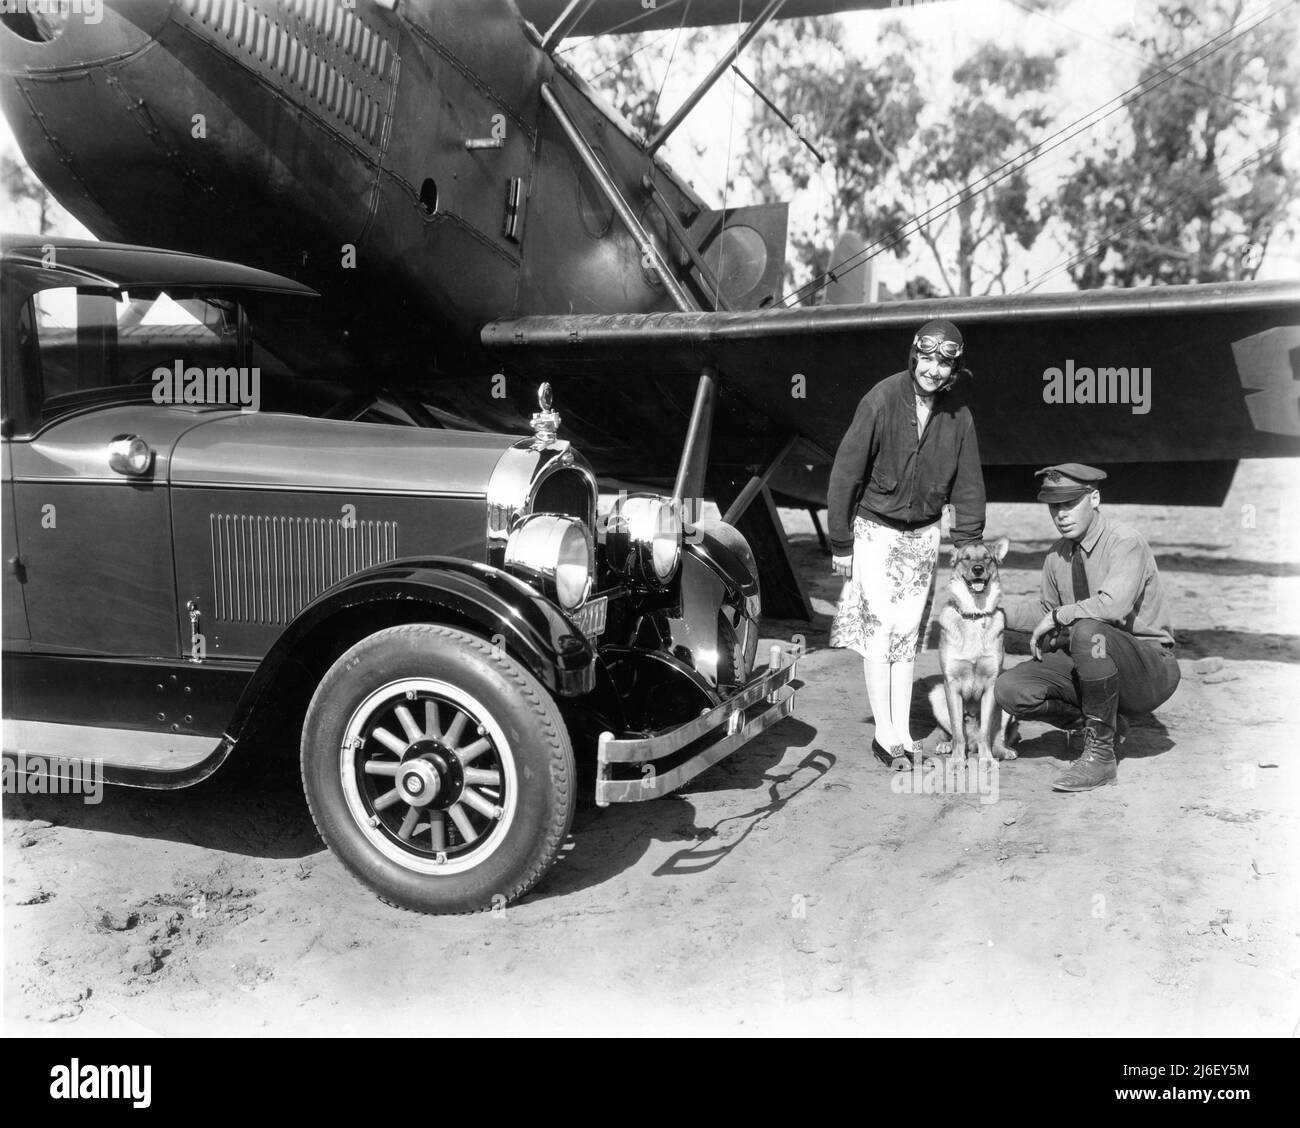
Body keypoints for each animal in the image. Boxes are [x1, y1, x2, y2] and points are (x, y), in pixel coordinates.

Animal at [930, 535, 1019, 764]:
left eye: (987, 558)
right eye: (966, 558)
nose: (978, 569)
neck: (974, 614)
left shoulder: (991, 684)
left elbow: (986, 732)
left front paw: (987, 760)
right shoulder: (951, 684)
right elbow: (956, 731)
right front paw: (957, 760)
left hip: (1005, 703)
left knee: (996, 737)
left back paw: (1002, 751)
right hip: (937, 694)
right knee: (948, 732)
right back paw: (945, 745)